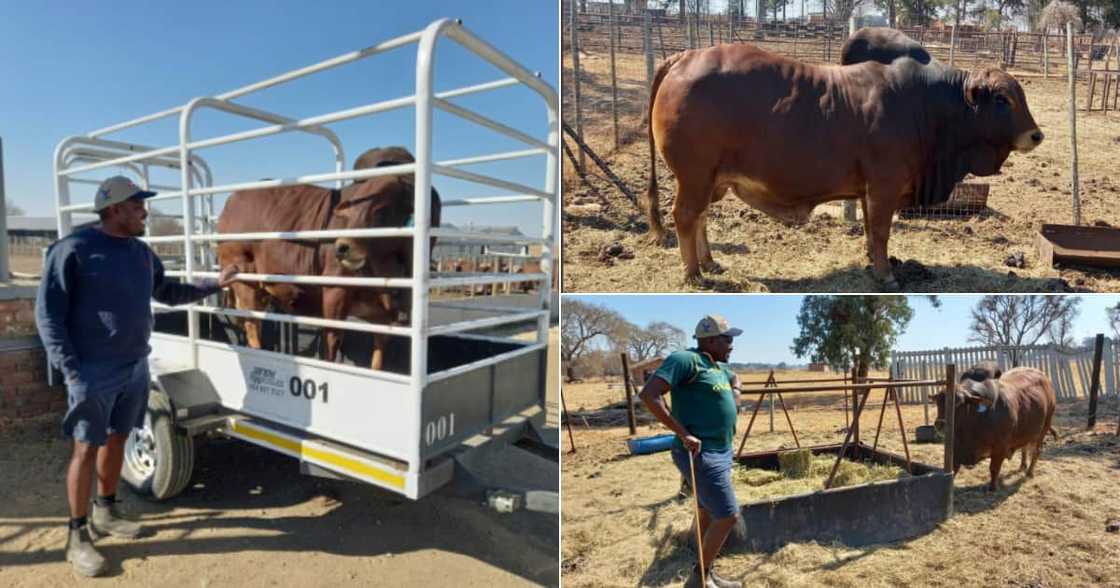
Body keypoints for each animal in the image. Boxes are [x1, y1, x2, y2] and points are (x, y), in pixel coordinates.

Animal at [217, 146, 441, 371]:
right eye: (353, 208)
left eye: (382, 210)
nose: (341, 247)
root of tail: (231, 202)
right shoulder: (335, 294)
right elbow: (332, 342)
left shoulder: (384, 315)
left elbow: (378, 355)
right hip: (245, 283)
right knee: (251, 326)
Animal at [644, 44, 1043, 288]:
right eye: (1003, 99)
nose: (1036, 135)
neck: (928, 107)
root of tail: (685, 57)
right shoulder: (884, 185)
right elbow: (880, 230)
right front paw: (886, 274)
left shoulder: (868, 190)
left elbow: (869, 229)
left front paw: (873, 263)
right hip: (695, 176)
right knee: (685, 216)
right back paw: (694, 273)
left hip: (711, 179)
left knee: (699, 217)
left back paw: (709, 262)